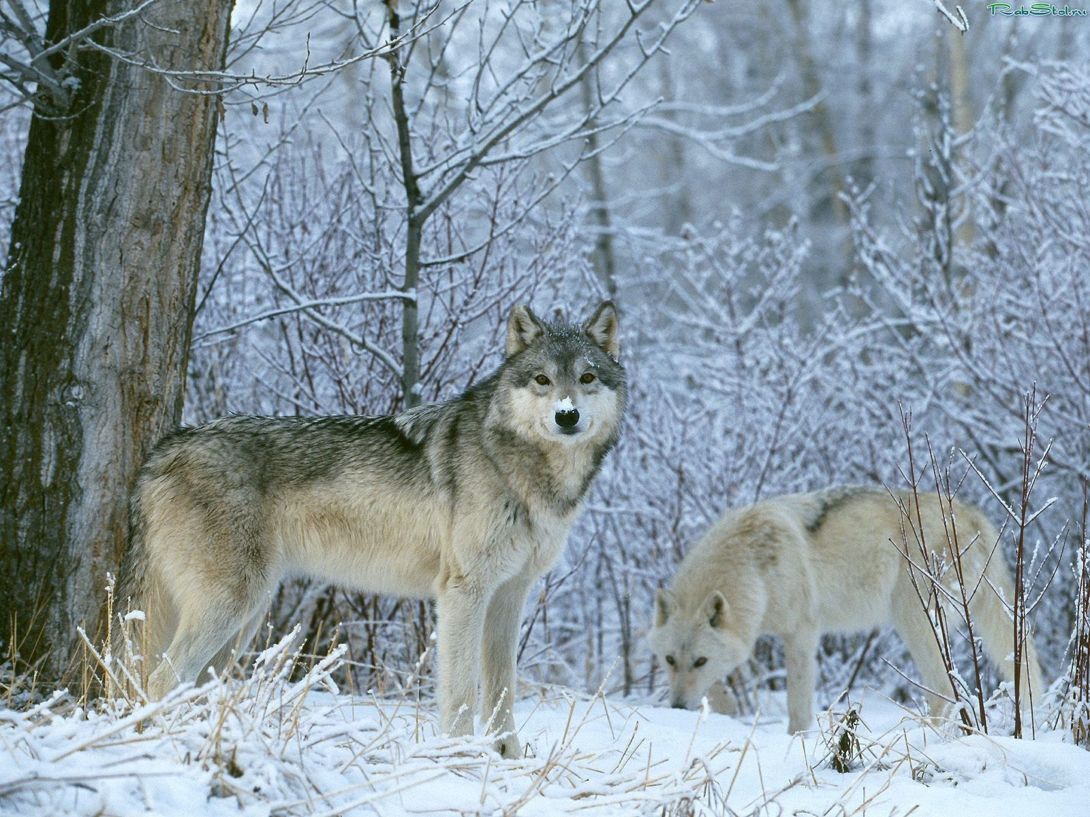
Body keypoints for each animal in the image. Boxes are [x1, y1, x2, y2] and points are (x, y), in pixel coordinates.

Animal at [120, 302, 627, 762]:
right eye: (542, 380)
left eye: (587, 379)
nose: (566, 415)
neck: (523, 469)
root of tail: (160, 452)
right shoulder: (463, 592)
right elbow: (462, 691)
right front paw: (459, 758)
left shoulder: (509, 594)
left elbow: (502, 689)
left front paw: (506, 757)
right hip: (231, 606)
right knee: (160, 678)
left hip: (244, 618)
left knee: (192, 685)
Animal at [645, 485, 1046, 736]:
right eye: (669, 660)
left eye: (699, 661)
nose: (676, 707)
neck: (753, 566)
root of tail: (972, 514)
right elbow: (719, 687)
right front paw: (725, 709)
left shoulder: (801, 634)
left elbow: (797, 705)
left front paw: (796, 740)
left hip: (915, 623)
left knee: (944, 690)